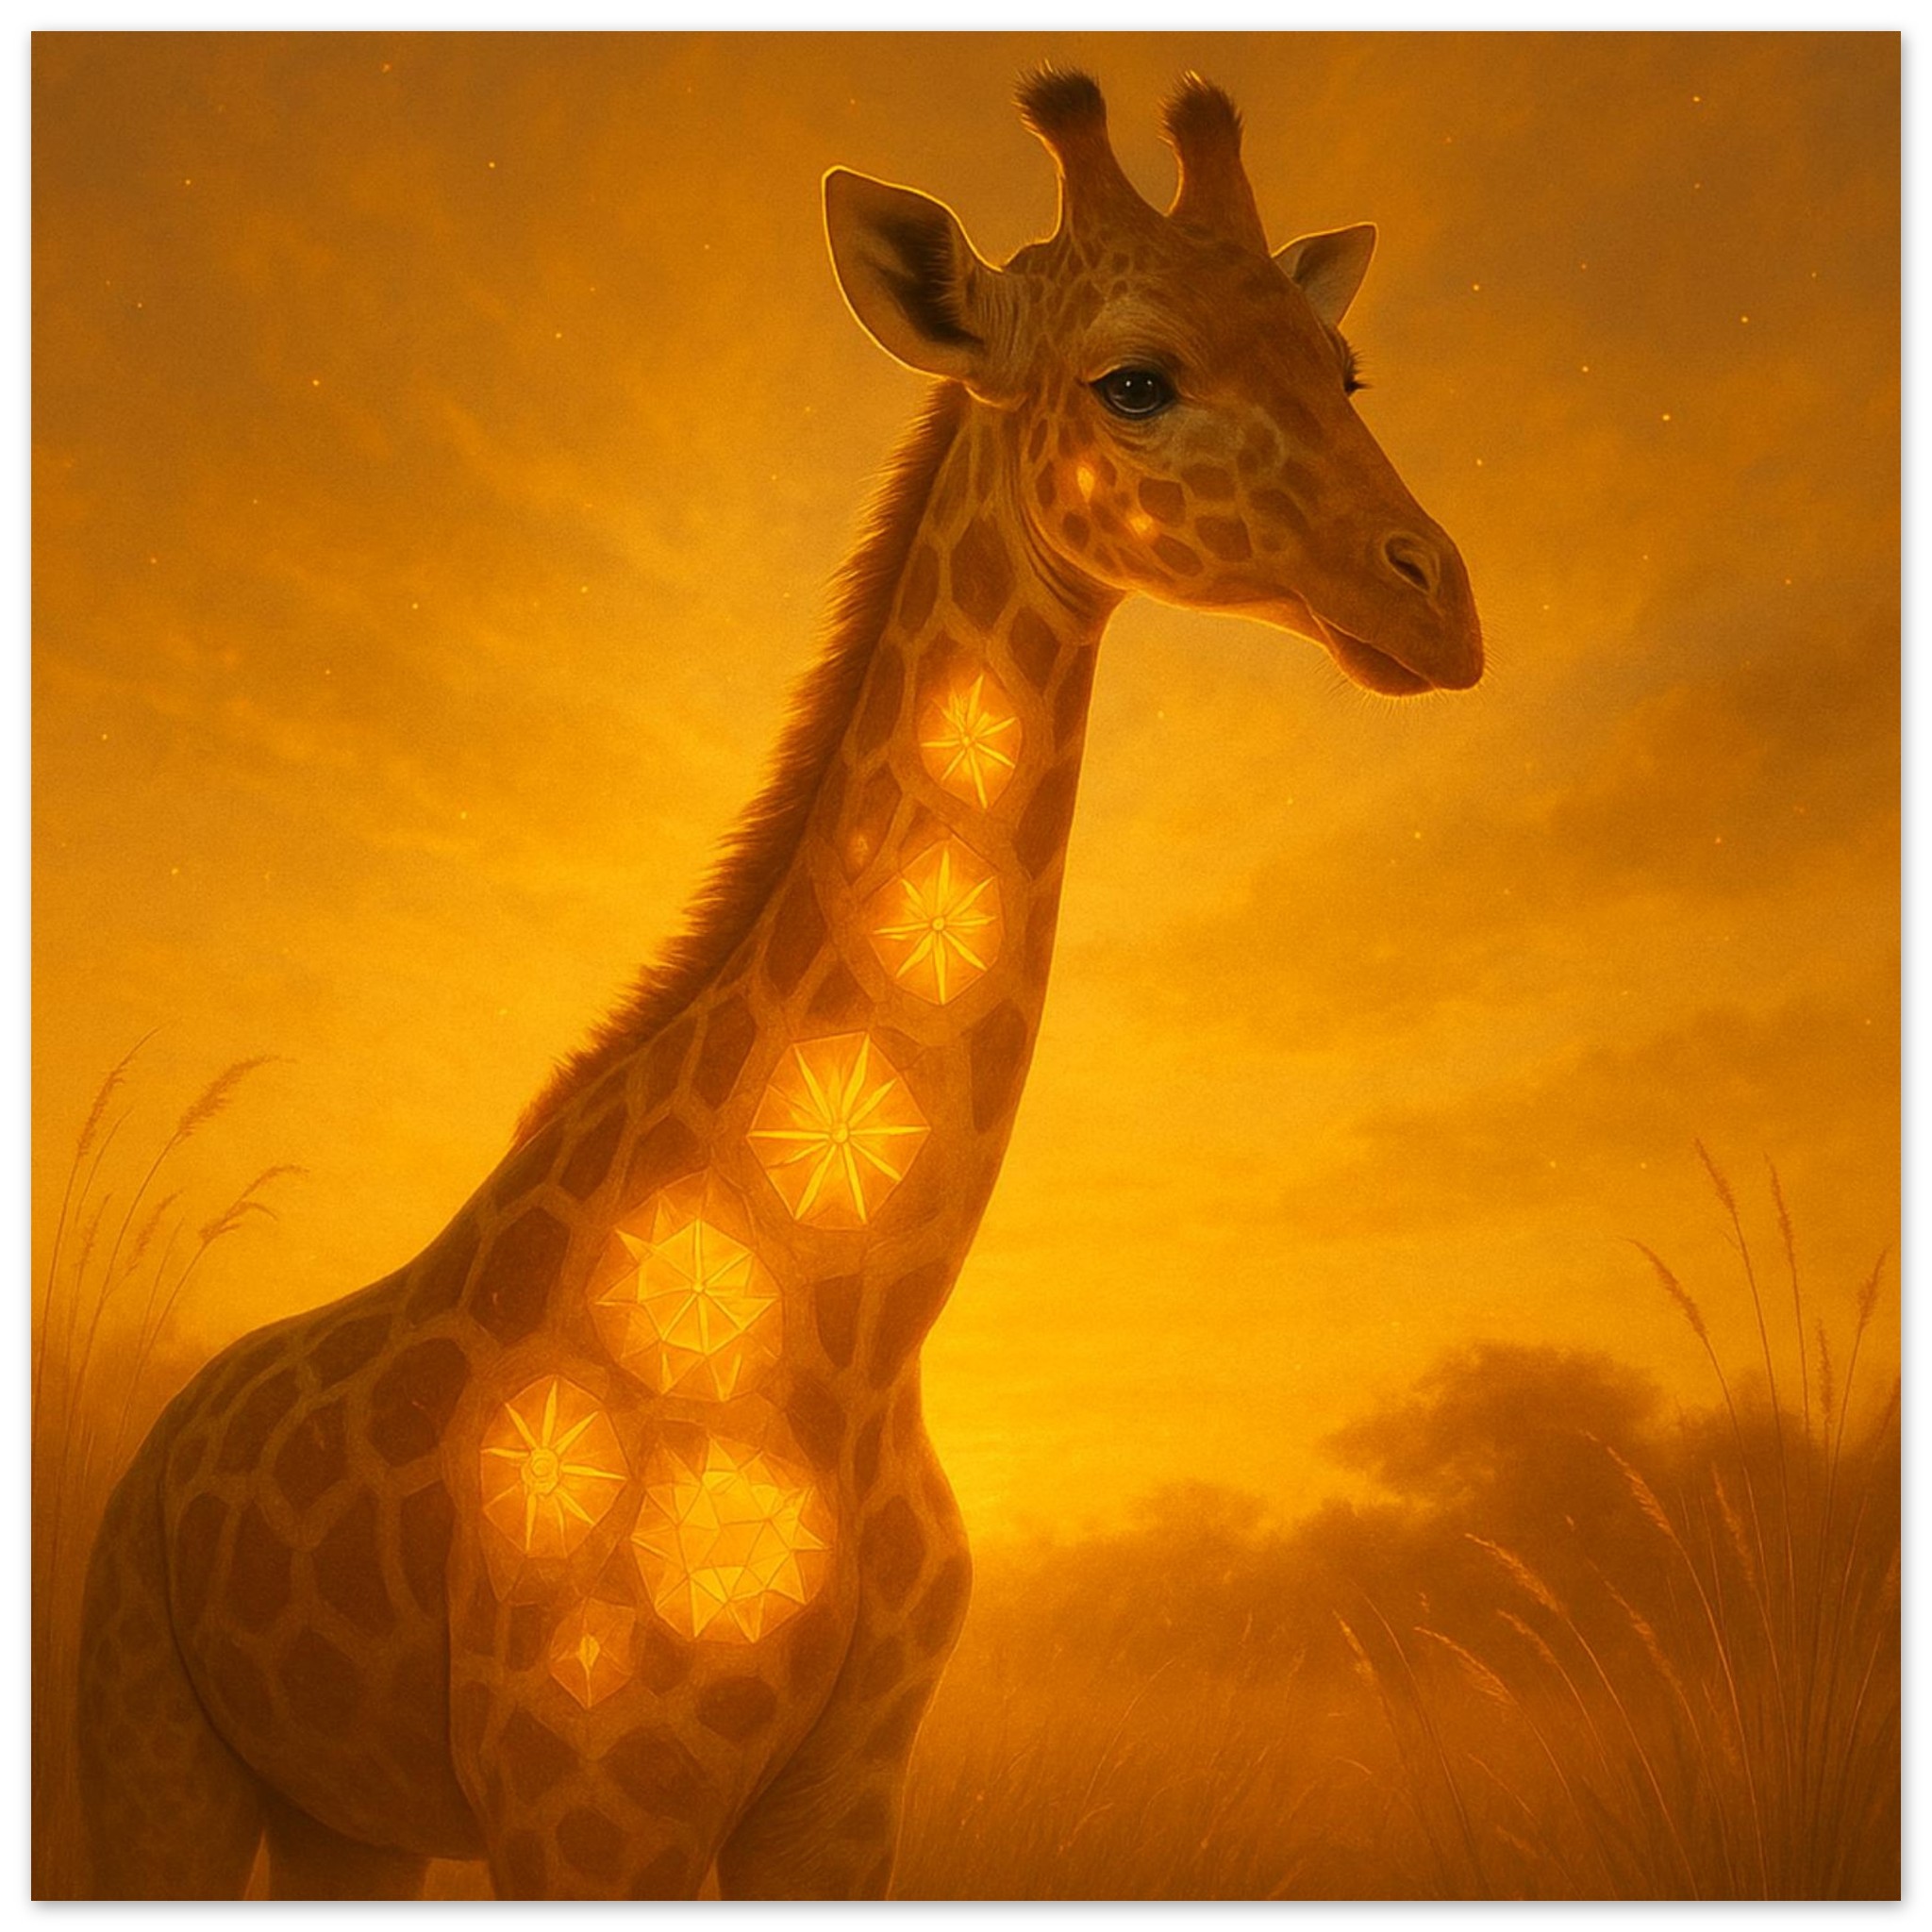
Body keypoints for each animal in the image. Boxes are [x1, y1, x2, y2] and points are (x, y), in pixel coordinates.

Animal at [75, 70, 1481, 1900]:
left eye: (1344, 368)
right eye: (1135, 380)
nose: (1436, 603)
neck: (850, 1333)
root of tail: (159, 1439)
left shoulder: (843, 1797)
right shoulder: (591, 1802)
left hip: (343, 1813)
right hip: (150, 1738)